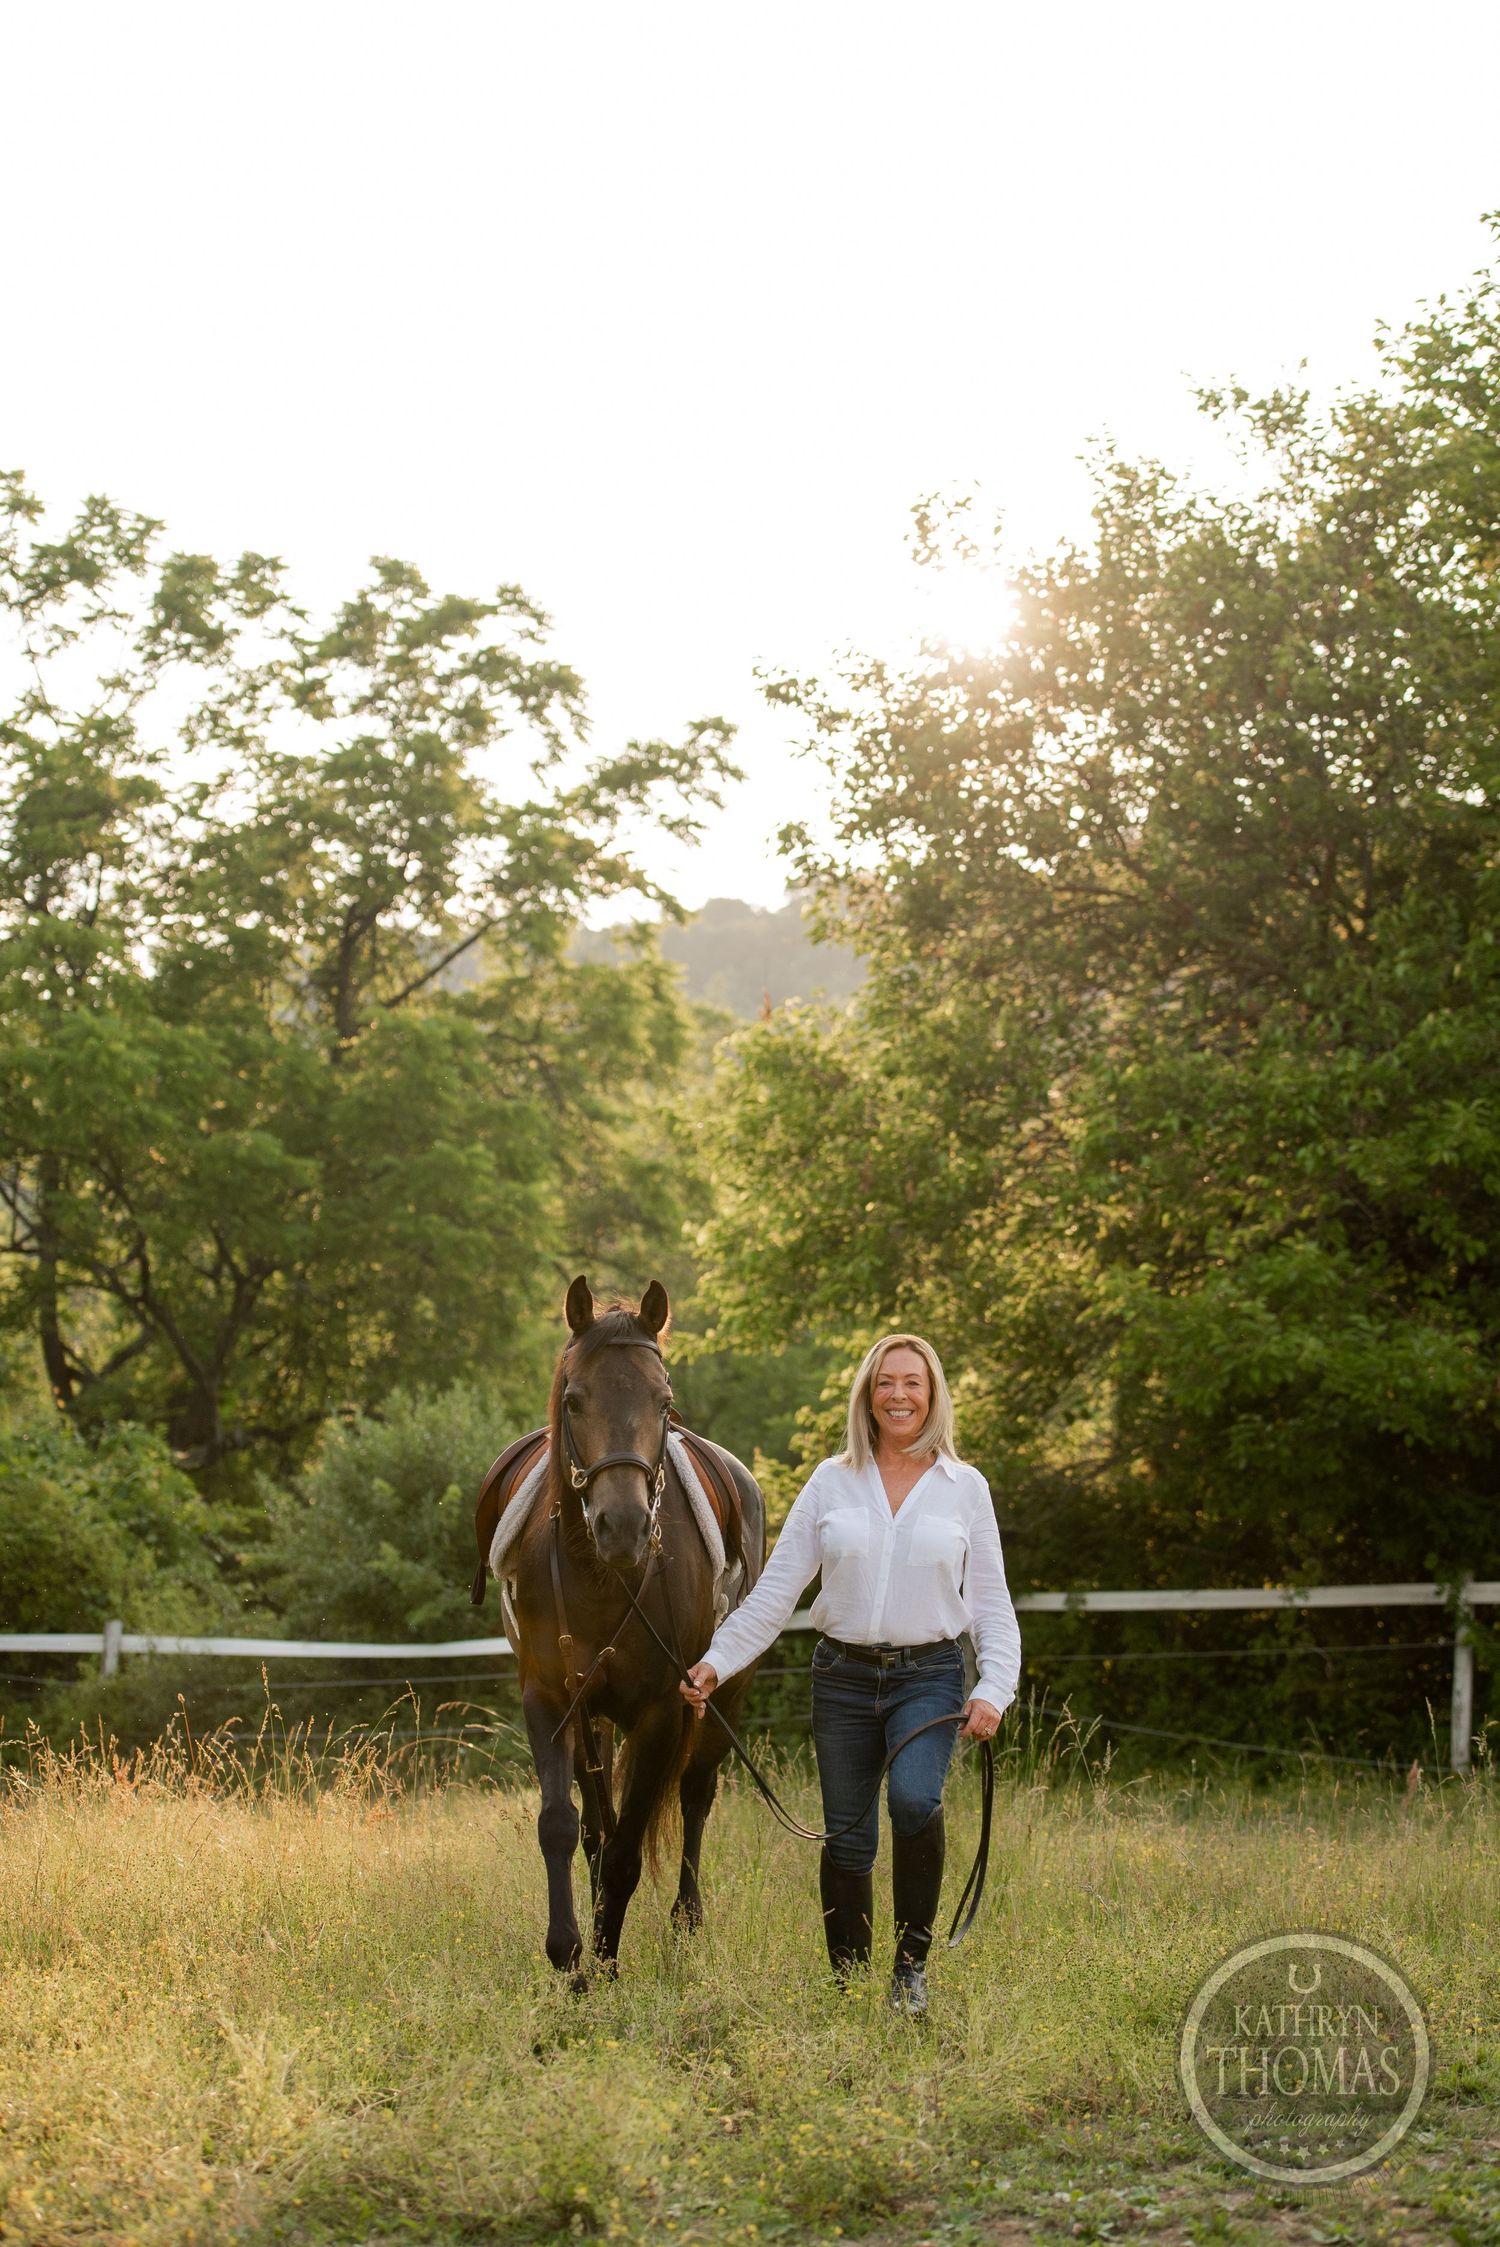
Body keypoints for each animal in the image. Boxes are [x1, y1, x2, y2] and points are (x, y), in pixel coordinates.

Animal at [471, 1274, 766, 1974]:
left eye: (664, 1402)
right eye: (574, 1400)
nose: (624, 1527)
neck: (602, 1577)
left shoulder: (663, 1710)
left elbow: (630, 1848)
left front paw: (605, 1964)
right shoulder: (552, 1698)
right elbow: (564, 1825)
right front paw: (570, 1956)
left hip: (723, 1698)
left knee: (696, 1793)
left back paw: (687, 1920)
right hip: (597, 1716)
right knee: (595, 1822)